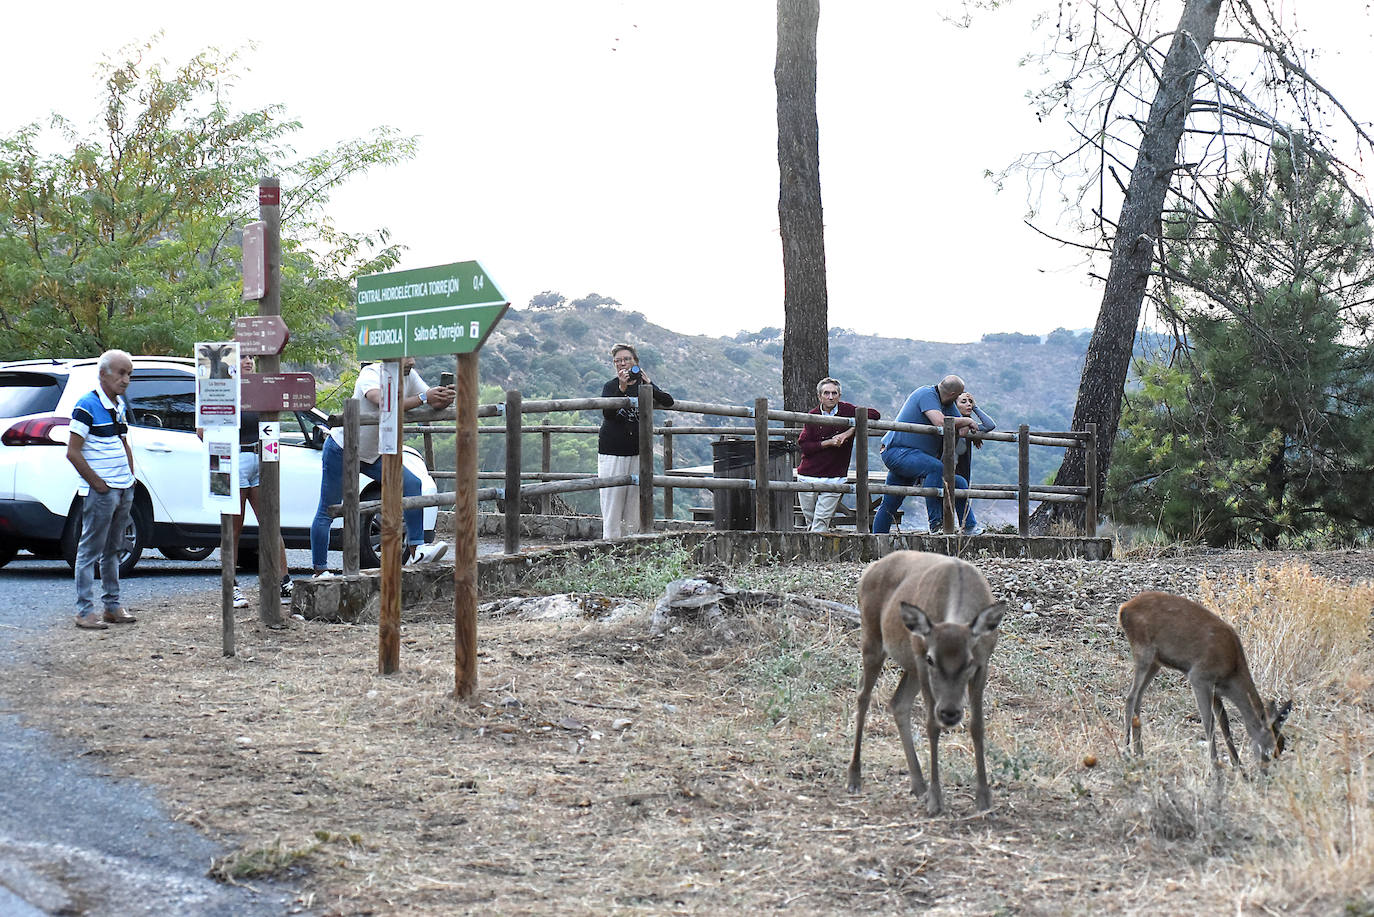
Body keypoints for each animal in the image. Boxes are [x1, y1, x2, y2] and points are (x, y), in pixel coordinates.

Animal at [840, 552, 1005, 819]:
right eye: (931, 659)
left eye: (969, 660)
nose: (950, 713)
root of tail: (869, 570)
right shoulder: (920, 659)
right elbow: (931, 726)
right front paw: (936, 801)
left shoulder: (984, 662)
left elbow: (977, 726)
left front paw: (984, 801)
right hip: (872, 636)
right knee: (863, 696)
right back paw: (855, 777)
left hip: (910, 668)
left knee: (898, 703)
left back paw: (919, 785)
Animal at [1115, 588, 1286, 769]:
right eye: (1271, 747)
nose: (1266, 769)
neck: (1232, 669)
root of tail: (1123, 609)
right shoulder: (1199, 677)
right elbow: (1209, 723)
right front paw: (1215, 766)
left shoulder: (1215, 689)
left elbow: (1224, 722)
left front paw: (1237, 764)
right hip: (1143, 651)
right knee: (1131, 696)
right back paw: (1126, 752)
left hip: (1155, 661)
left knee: (1138, 697)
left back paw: (1139, 752)